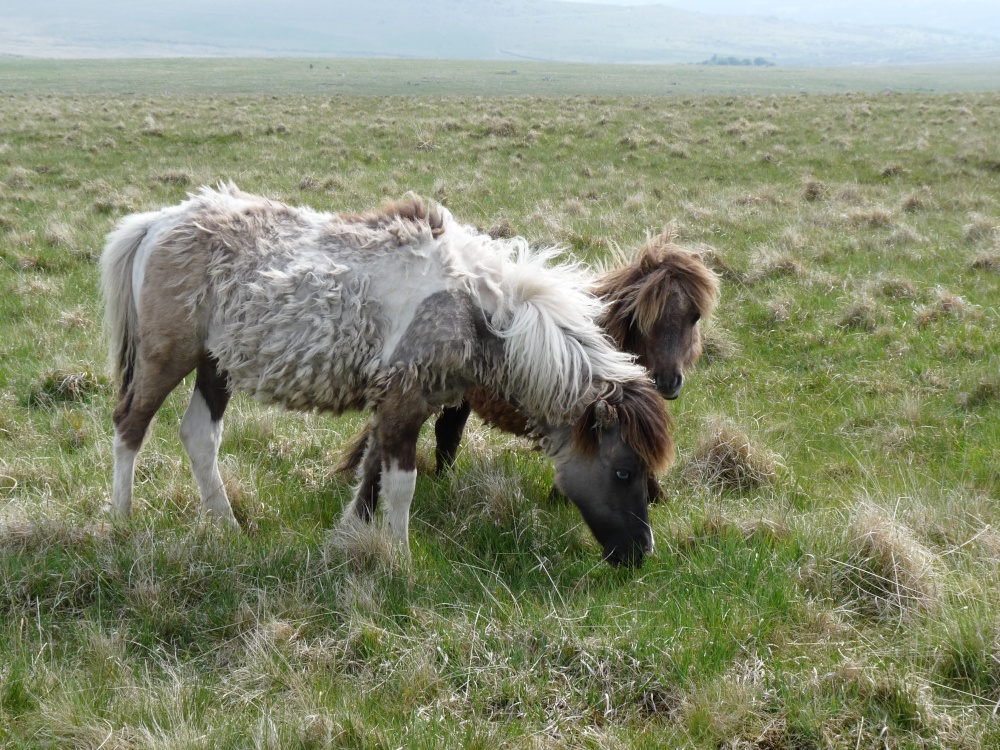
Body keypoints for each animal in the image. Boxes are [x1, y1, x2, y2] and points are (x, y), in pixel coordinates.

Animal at [101, 185, 676, 568]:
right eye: (623, 472)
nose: (641, 554)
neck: (475, 307)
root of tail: (156, 223)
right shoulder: (405, 402)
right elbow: (400, 484)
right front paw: (400, 561)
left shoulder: (393, 403)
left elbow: (371, 476)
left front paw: (350, 540)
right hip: (166, 359)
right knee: (131, 426)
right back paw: (122, 521)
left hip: (215, 365)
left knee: (199, 437)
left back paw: (226, 526)